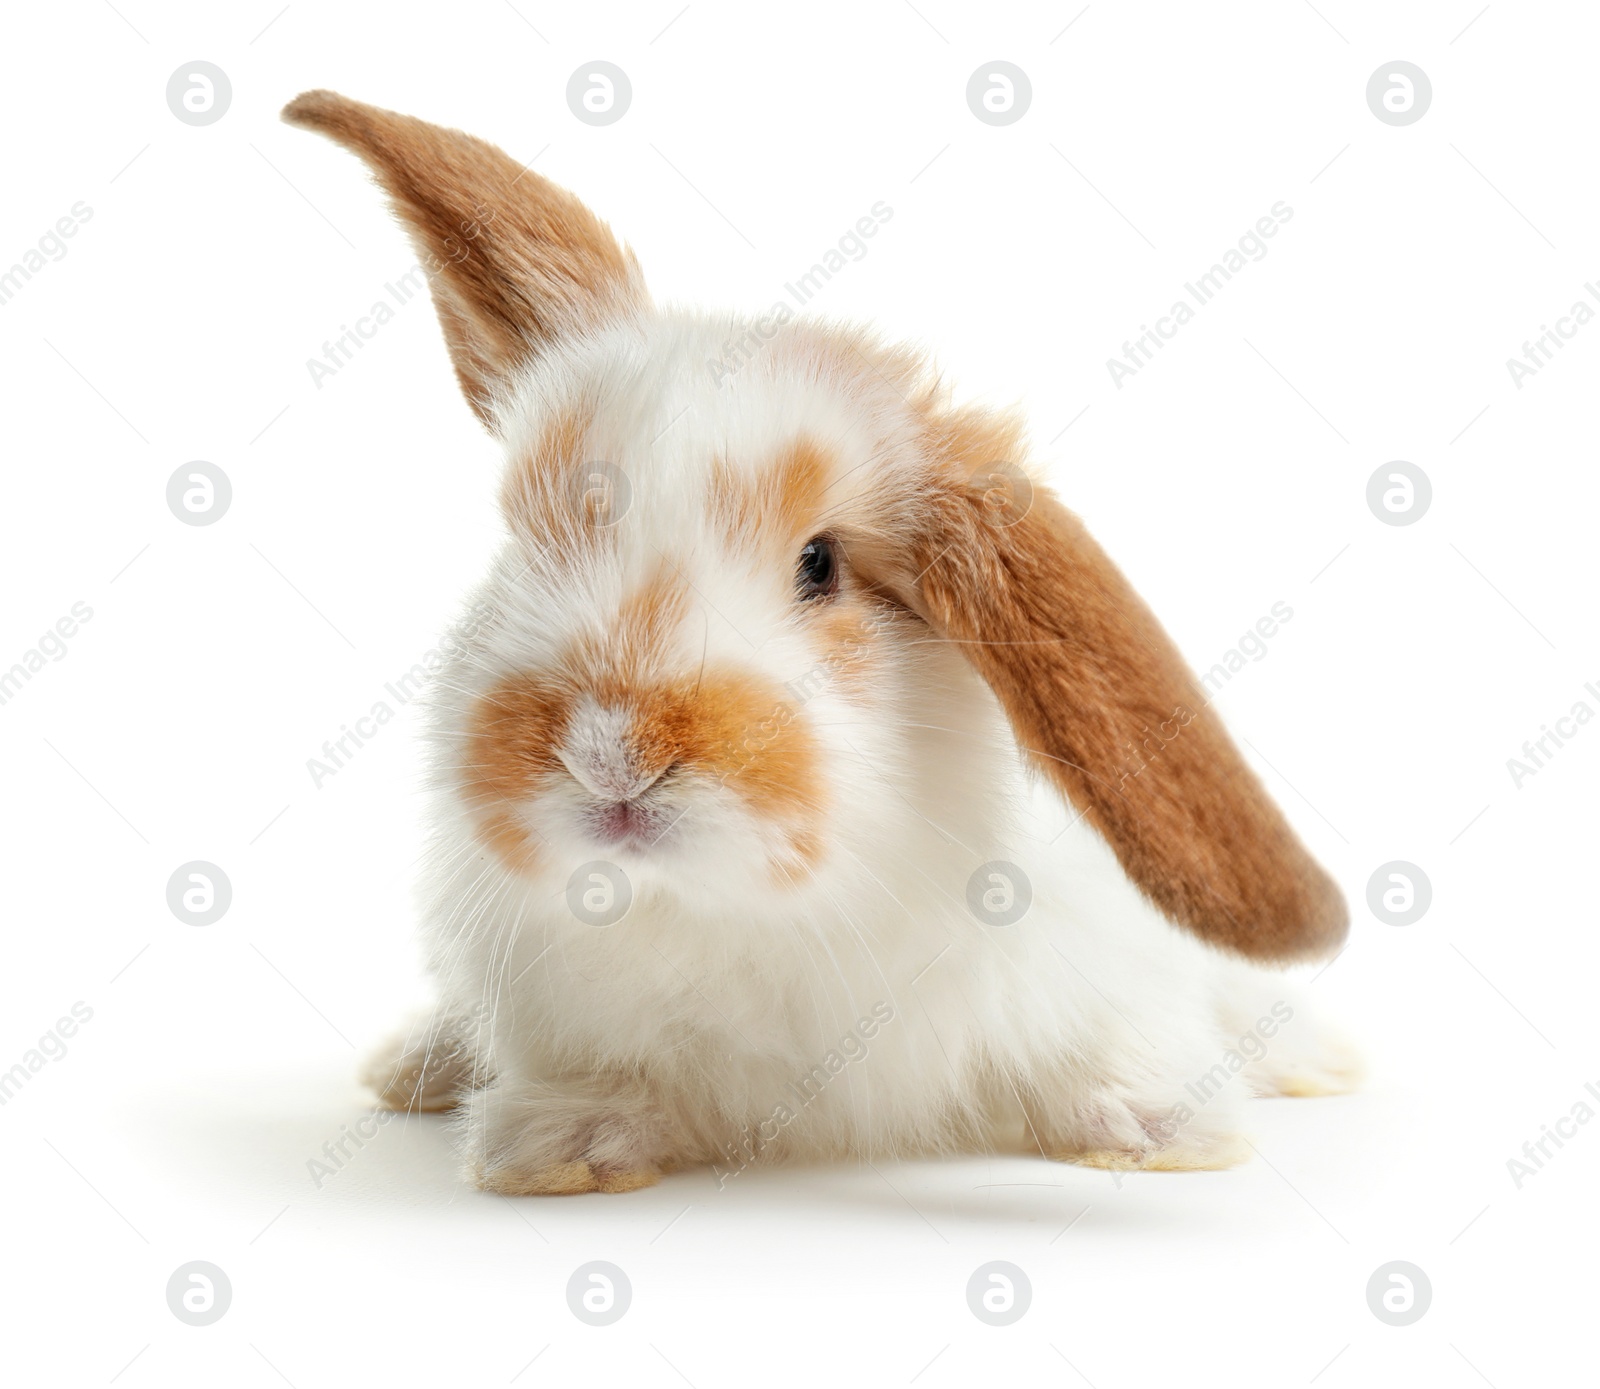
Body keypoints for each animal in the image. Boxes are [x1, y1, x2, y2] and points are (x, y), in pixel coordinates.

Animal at [281, 89, 1356, 1190]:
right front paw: (558, 1147)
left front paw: (1164, 1134)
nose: (609, 751)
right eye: (524, 540)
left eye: (820, 564)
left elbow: (1117, 1051)